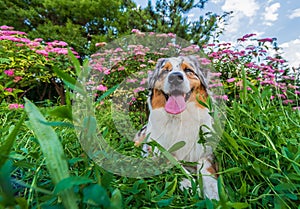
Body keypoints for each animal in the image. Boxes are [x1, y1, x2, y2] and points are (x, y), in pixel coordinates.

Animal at [135, 55, 219, 199]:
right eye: (165, 71)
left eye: (188, 70)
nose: (174, 77)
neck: (180, 119)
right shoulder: (158, 150)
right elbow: (176, 165)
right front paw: (191, 187)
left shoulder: (205, 151)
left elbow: (207, 171)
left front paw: (214, 195)